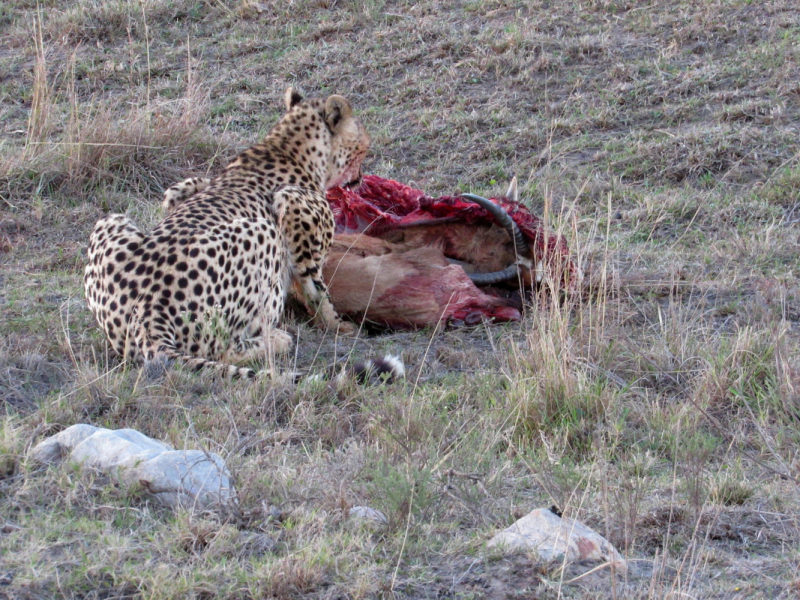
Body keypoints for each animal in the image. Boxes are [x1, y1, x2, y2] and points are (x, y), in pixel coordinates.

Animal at [83, 88, 370, 380]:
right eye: (363, 147)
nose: (360, 178)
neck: (286, 147)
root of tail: (148, 310)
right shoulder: (291, 202)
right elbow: (317, 289)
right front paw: (341, 326)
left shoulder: (179, 191)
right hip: (262, 231)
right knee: (223, 349)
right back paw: (277, 340)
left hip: (109, 221)